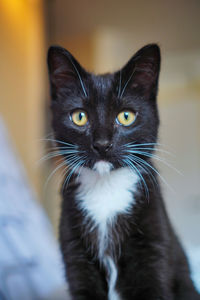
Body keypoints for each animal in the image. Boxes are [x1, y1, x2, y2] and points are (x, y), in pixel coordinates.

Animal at [47, 43, 200, 298]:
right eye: (79, 117)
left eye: (126, 116)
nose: (102, 144)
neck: (106, 187)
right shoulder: (75, 253)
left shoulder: (153, 246)